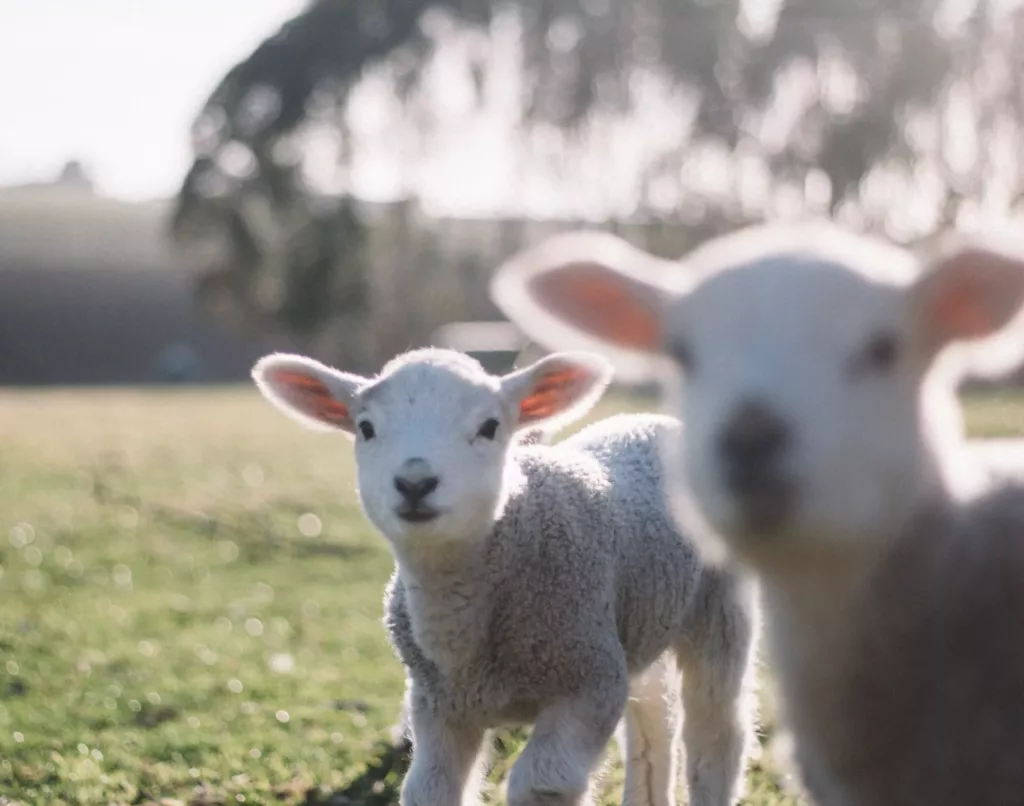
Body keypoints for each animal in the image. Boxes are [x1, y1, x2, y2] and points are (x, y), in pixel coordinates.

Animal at [250, 348, 757, 806]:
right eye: (366, 428)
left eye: (489, 427)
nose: (415, 483)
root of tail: (653, 420)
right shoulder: (438, 705)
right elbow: (429, 790)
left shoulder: (589, 682)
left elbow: (542, 783)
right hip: (639, 618)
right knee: (654, 719)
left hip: (720, 609)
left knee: (716, 732)